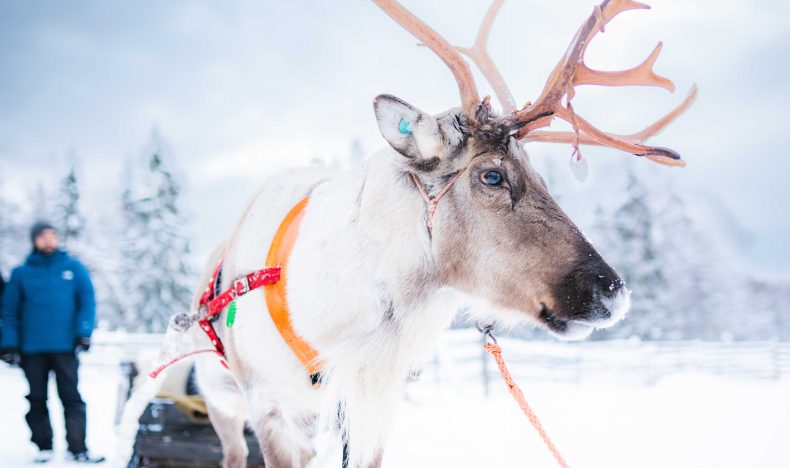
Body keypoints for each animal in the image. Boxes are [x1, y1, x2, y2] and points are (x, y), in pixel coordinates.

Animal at [116, 1, 696, 467]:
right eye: (492, 176)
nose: (612, 291)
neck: (341, 324)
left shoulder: (368, 404)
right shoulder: (273, 411)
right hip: (221, 402)